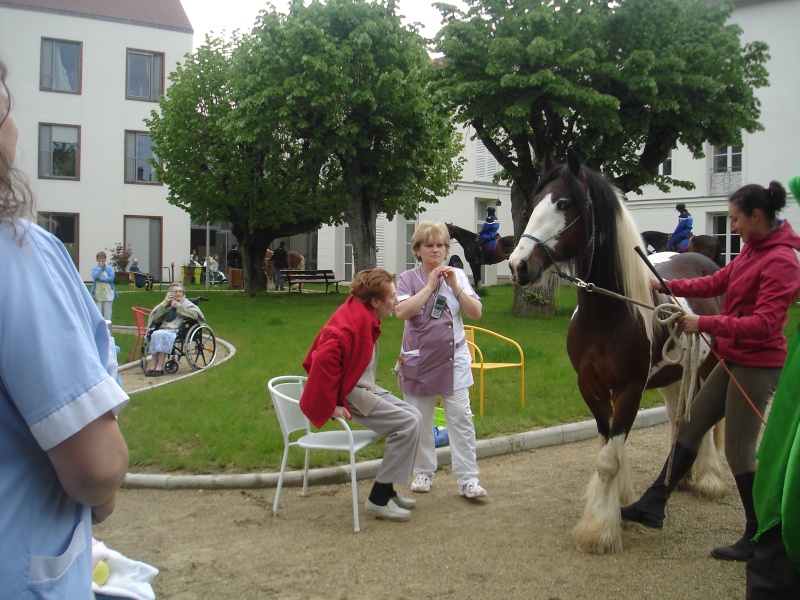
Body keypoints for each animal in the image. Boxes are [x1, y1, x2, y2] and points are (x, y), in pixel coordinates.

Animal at [510, 150, 728, 552]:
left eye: (564, 204)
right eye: (534, 202)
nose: (518, 265)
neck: (607, 315)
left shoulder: (630, 389)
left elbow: (609, 458)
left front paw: (599, 529)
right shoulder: (591, 387)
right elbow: (608, 446)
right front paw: (619, 503)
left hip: (704, 370)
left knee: (702, 422)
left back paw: (708, 479)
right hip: (673, 377)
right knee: (679, 419)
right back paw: (681, 478)